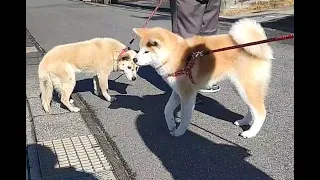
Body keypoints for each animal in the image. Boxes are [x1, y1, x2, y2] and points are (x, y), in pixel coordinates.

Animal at [131, 18, 274, 138]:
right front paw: (171, 124)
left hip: (246, 87)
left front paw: (179, 131)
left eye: (146, 51)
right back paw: (244, 121)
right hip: (240, 87)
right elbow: (167, 109)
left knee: (260, 112)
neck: (174, 54)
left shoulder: (187, 94)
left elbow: (185, 117)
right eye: (139, 49)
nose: (134, 59)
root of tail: (260, 46)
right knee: (252, 108)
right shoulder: (177, 91)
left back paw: (250, 133)